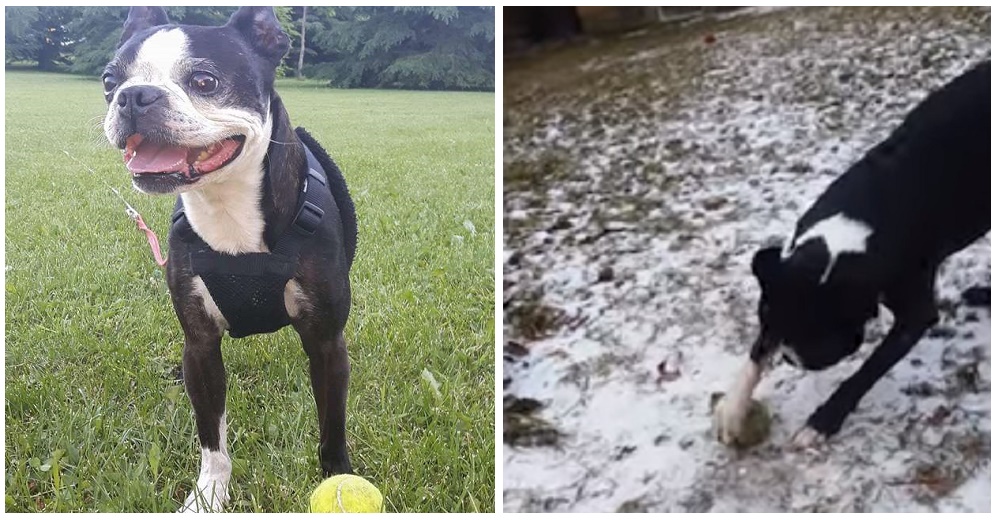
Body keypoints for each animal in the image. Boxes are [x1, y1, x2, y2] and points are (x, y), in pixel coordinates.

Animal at [101, 7, 358, 512]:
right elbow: (212, 437)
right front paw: (209, 494)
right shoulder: (199, 345)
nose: (134, 96)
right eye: (109, 80)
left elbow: (332, 426)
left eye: (204, 81)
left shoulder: (326, 341)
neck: (226, 208)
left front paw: (337, 479)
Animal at [716, 61, 988, 448]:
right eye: (772, 327)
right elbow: (754, 356)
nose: (788, 358)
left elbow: (866, 371)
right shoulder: (778, 290)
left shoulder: (915, 314)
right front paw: (734, 409)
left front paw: (821, 422)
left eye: (822, 344)